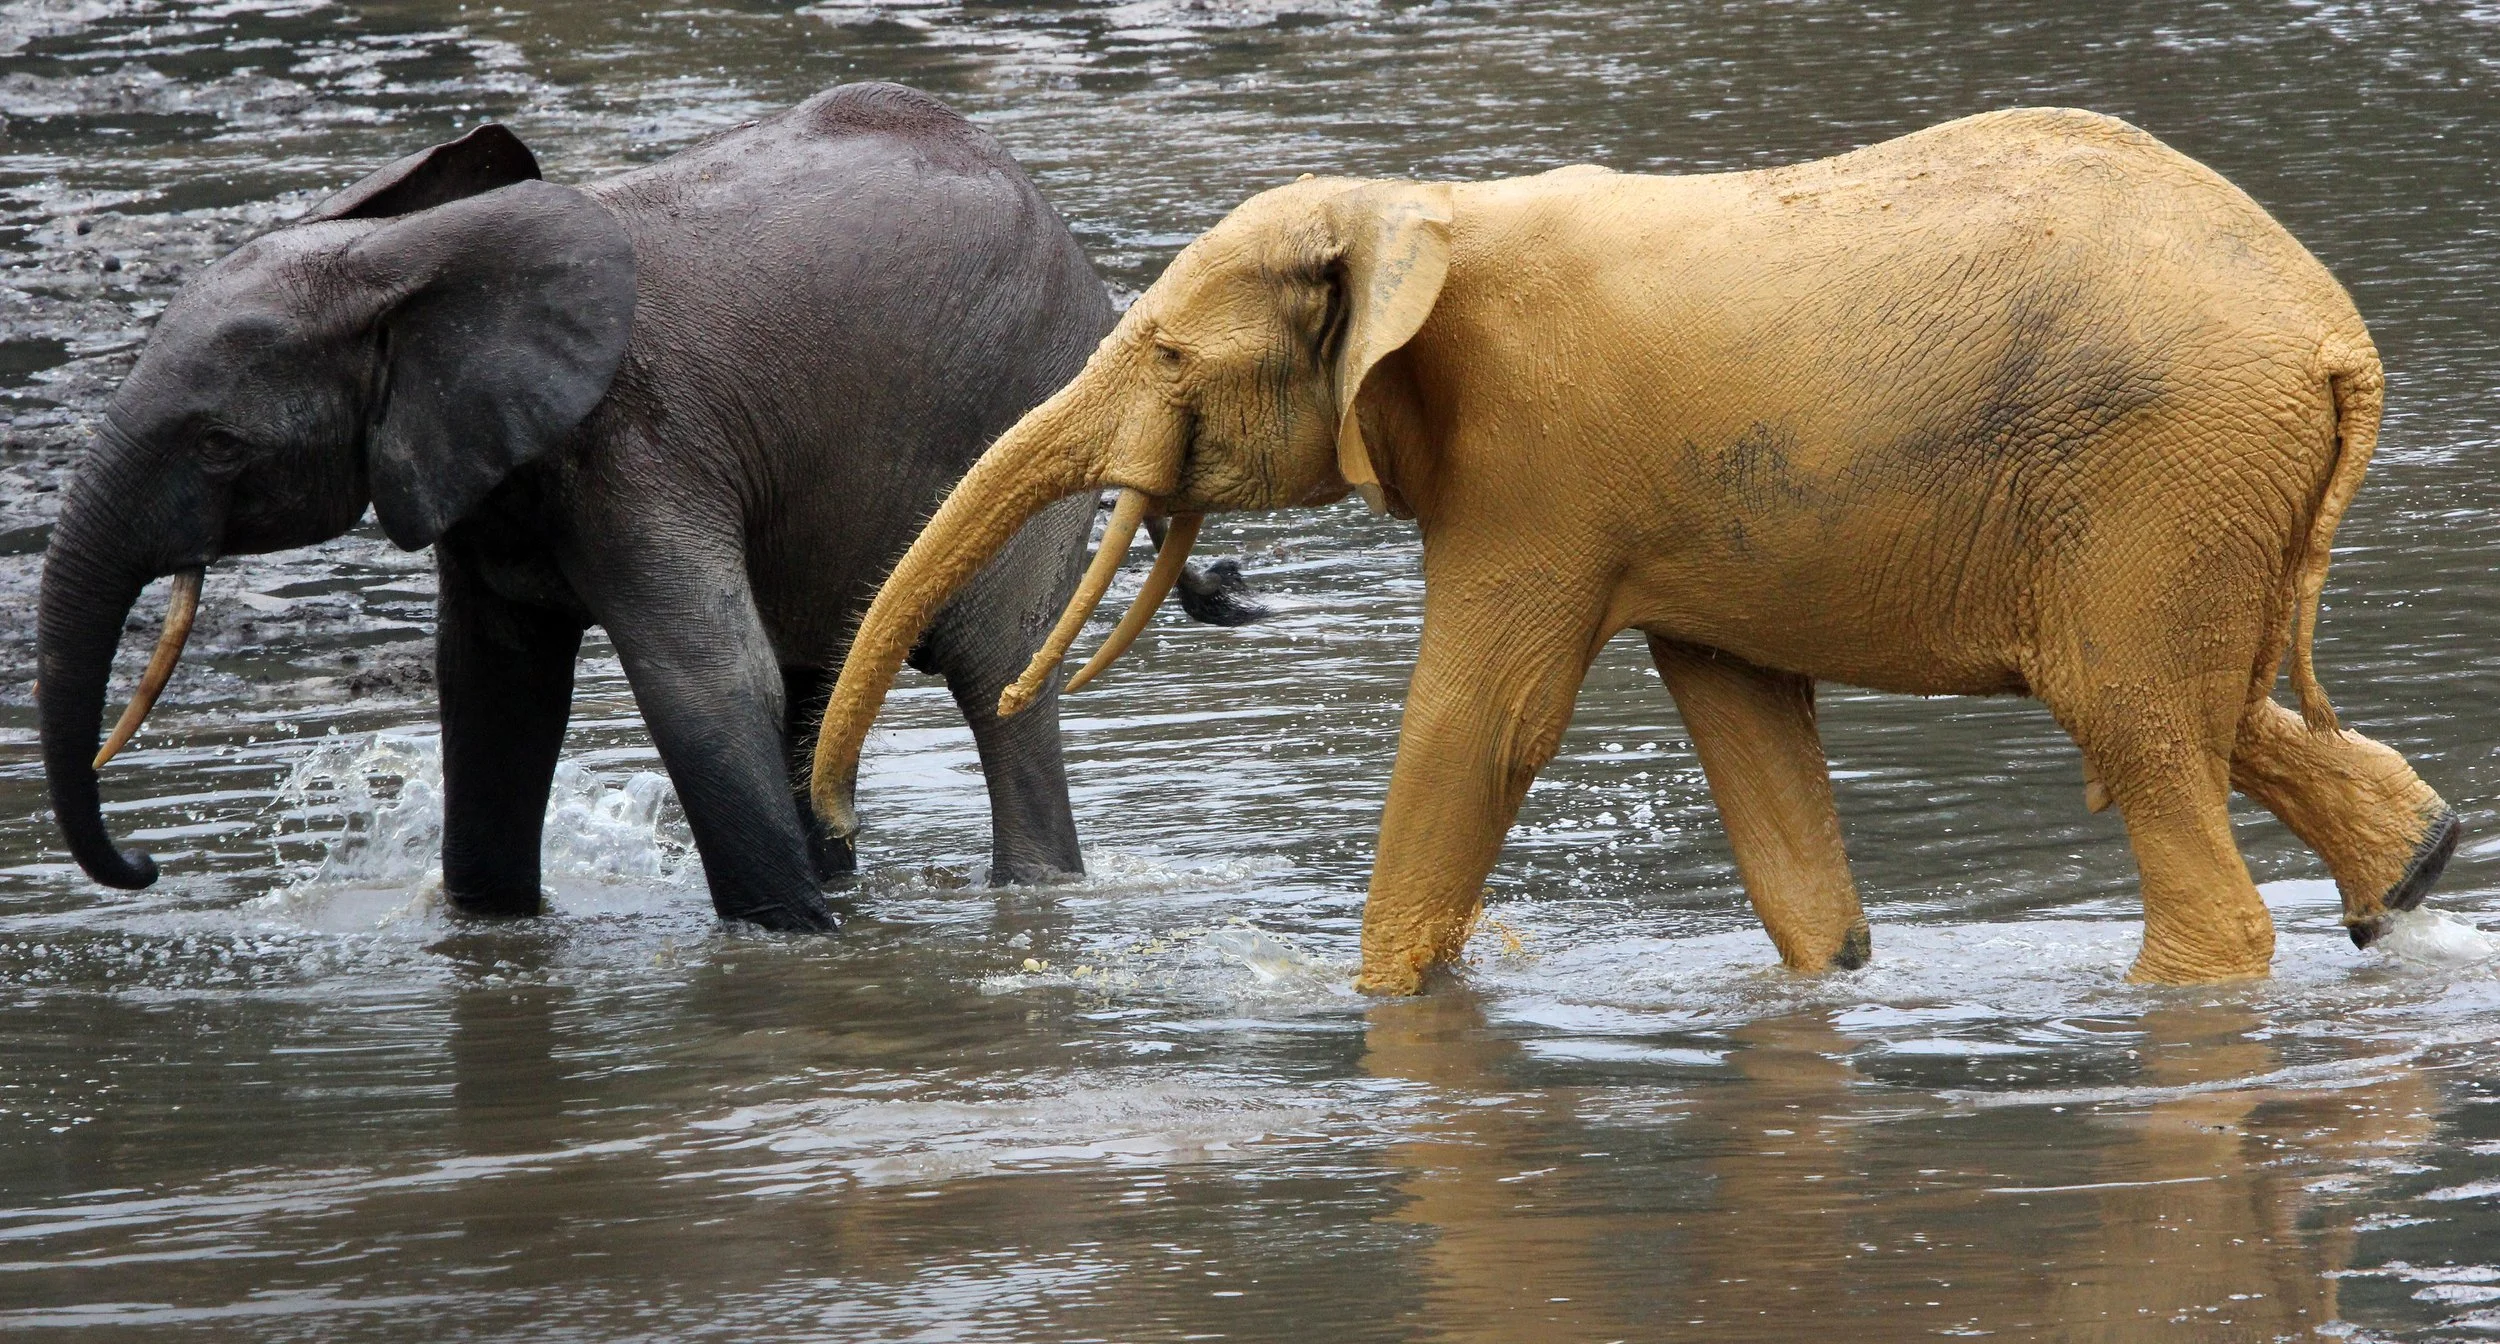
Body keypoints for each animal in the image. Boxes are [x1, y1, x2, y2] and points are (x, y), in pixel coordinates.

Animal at [38, 81, 1260, 929]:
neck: (401, 258)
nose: (142, 864)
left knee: (994, 687)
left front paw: (791, 947)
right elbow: (493, 696)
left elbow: (704, 681)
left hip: (1027, 419)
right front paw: (486, 935)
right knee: (820, 691)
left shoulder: (642, 449)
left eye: (218, 444)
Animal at [808, 107, 2459, 991]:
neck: (1420, 211)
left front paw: (1376, 1000)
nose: (833, 834)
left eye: (1159, 354)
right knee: (2199, 706)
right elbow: (1746, 728)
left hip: (2156, 476)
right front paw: (1832, 975)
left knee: (2135, 721)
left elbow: (1481, 729)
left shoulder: (1536, 471)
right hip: (2200, 493)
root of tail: (2338, 343)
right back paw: (2414, 867)